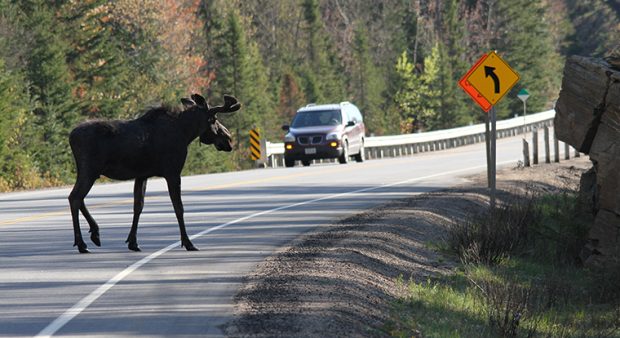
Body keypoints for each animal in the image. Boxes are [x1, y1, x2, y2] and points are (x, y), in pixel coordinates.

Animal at [68, 93, 240, 252]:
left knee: (78, 198)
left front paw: (133, 242)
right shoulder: (173, 172)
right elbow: (179, 208)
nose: (228, 139)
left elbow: (138, 206)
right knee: (75, 197)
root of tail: (71, 136)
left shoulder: (142, 175)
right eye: (213, 119)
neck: (186, 133)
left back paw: (94, 233)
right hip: (89, 170)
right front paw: (188, 243)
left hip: (88, 171)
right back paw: (82, 243)